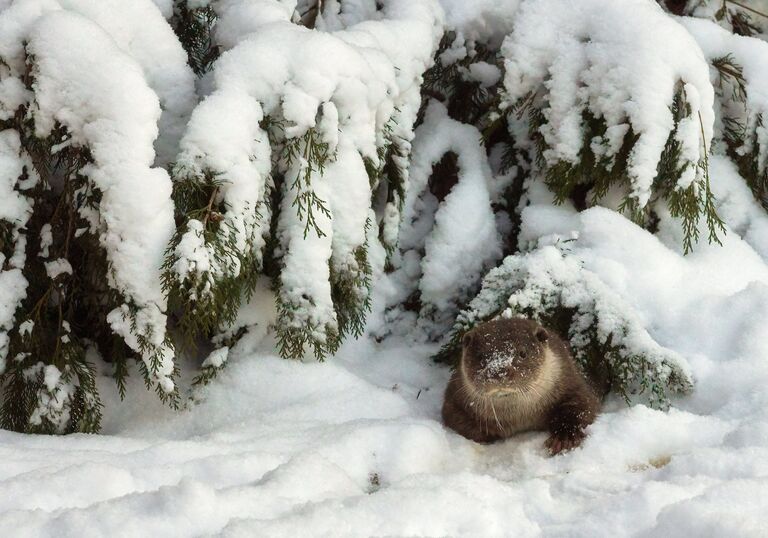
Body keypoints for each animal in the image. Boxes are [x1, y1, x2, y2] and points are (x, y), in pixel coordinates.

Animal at [444, 316, 600, 454]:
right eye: (480, 356)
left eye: (522, 353)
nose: (499, 371)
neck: (520, 417)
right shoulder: (454, 399)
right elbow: (457, 421)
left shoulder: (570, 381)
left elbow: (582, 405)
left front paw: (564, 438)